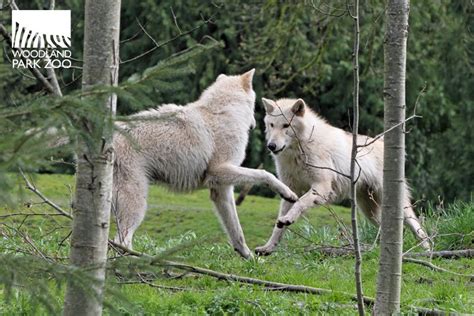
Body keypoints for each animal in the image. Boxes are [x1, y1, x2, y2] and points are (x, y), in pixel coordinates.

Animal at [111, 70, 296, 258]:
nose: (254, 124)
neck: (224, 111)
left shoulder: (221, 190)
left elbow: (237, 233)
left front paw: (250, 259)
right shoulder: (220, 171)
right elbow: (264, 174)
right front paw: (288, 193)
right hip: (137, 204)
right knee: (122, 242)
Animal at [256, 97, 430, 256]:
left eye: (286, 125)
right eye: (272, 125)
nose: (271, 146)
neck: (300, 149)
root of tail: (382, 142)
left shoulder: (321, 186)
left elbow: (300, 203)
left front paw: (288, 219)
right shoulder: (290, 191)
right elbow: (279, 227)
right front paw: (268, 248)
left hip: (395, 206)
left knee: (417, 227)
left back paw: (427, 251)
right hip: (369, 210)